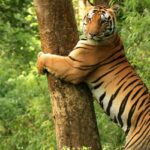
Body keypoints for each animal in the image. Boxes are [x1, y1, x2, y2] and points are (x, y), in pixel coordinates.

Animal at [36, 3, 150, 150]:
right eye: (89, 19)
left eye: (103, 21)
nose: (92, 34)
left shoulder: (72, 66)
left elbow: (51, 59)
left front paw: (39, 61)